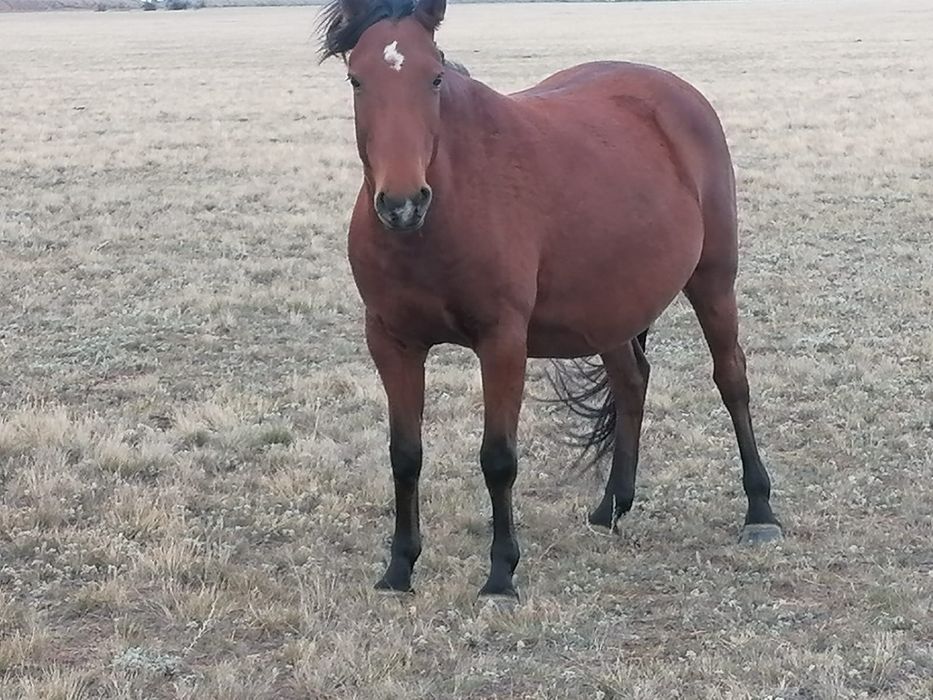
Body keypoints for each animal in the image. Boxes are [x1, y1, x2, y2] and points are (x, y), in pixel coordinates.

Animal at [316, 0, 782, 600]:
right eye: (357, 79)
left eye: (435, 77)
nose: (402, 204)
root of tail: (676, 93)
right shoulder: (391, 342)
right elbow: (405, 456)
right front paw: (399, 569)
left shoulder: (502, 341)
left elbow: (497, 458)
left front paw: (500, 576)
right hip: (608, 308)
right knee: (631, 382)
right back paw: (611, 508)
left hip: (713, 281)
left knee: (731, 379)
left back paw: (760, 512)